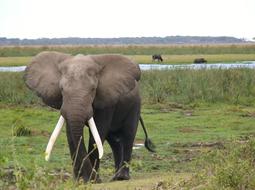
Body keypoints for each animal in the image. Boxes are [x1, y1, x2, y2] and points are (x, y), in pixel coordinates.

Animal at [23, 50, 154, 183]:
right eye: (61, 89)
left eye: (93, 89)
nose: (87, 177)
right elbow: (70, 133)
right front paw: (79, 180)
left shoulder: (106, 101)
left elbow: (98, 133)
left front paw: (93, 180)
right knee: (114, 141)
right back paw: (115, 178)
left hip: (135, 105)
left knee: (128, 135)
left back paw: (122, 177)